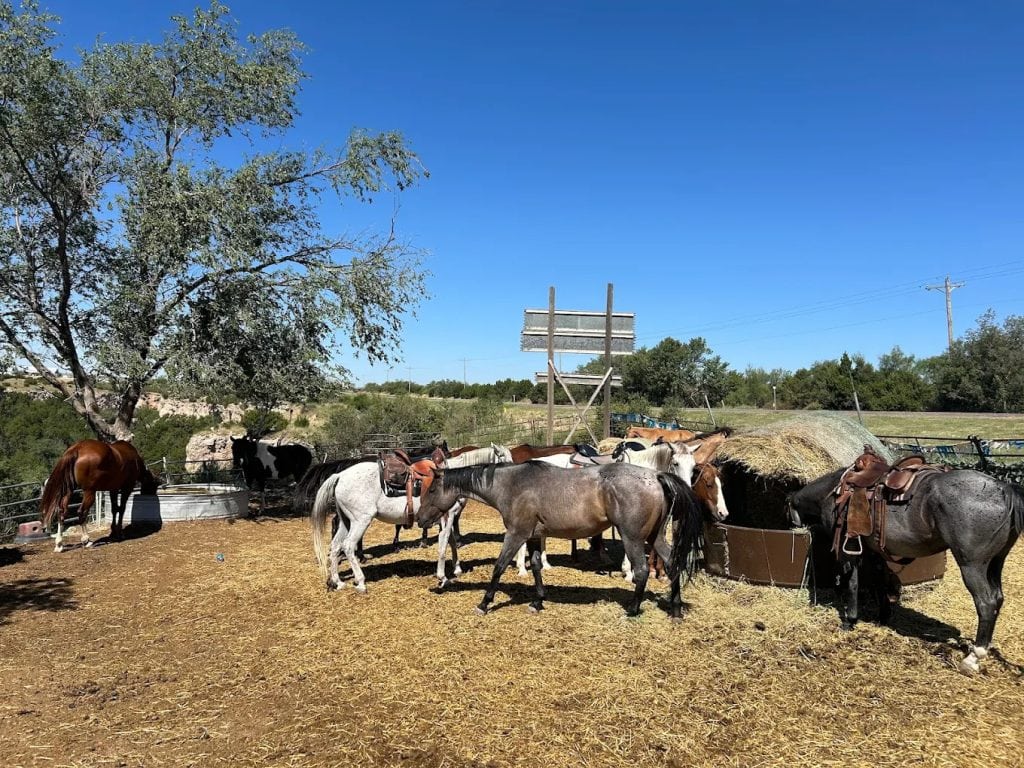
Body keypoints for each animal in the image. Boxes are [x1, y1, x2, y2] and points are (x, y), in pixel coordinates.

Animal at [415, 462, 705, 618]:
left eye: (432, 489)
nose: (419, 519)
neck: (512, 485)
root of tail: (655, 476)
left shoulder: (516, 534)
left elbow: (499, 567)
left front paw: (484, 603)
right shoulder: (533, 537)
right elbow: (535, 566)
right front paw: (537, 601)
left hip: (633, 537)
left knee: (642, 570)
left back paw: (633, 609)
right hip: (655, 536)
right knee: (673, 564)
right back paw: (676, 610)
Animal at [788, 464, 1024, 674]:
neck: (833, 492)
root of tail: (1004, 489)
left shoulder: (851, 549)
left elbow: (853, 583)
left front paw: (850, 620)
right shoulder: (874, 551)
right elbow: (879, 580)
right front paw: (883, 616)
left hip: (972, 565)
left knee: (986, 603)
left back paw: (973, 657)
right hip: (995, 563)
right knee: (998, 598)